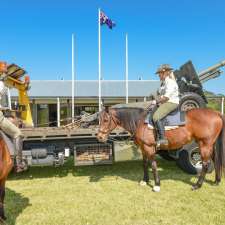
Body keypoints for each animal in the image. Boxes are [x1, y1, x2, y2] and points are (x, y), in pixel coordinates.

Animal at [97, 103, 225, 192]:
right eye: (99, 120)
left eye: (106, 120)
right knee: (215, 159)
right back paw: (216, 181)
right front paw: (145, 180)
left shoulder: (149, 148)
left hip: (204, 144)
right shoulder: (143, 148)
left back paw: (197, 185)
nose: (99, 136)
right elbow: (145, 164)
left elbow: (153, 165)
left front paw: (157, 185)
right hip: (209, 144)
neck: (139, 121)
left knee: (205, 164)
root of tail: (216, 113)